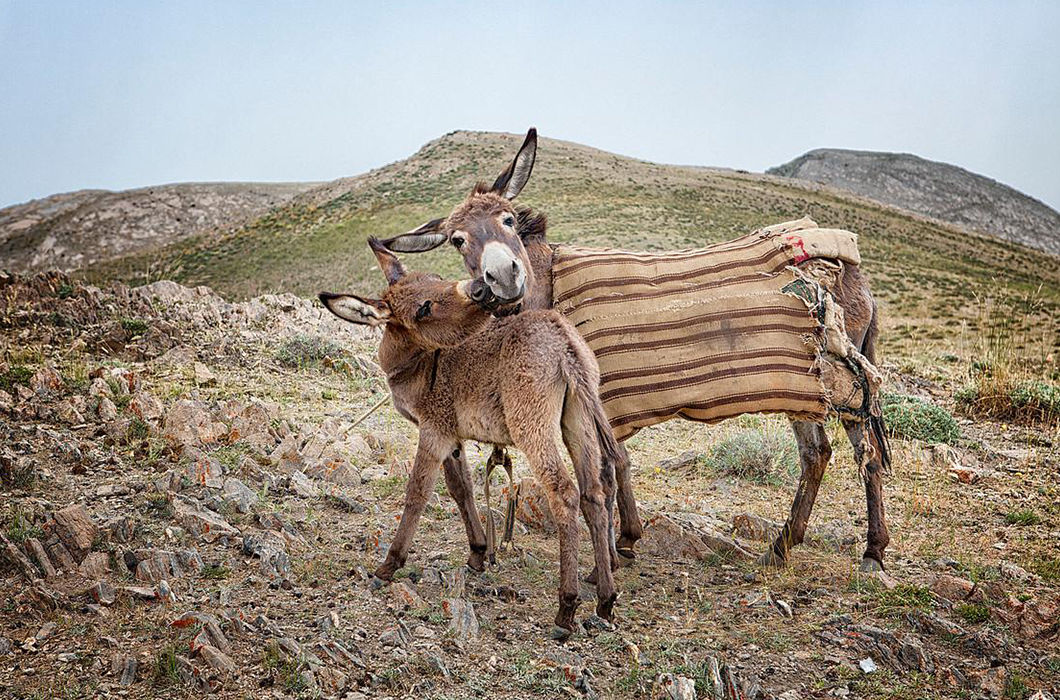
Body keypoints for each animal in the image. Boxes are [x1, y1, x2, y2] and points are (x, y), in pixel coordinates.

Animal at [320, 237, 619, 636]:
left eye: (437, 282)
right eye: (424, 307)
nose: (481, 288)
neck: (418, 360)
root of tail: (563, 340)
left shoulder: (433, 429)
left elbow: (417, 493)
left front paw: (389, 565)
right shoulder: (451, 435)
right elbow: (460, 487)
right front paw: (478, 551)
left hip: (532, 426)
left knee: (564, 494)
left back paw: (566, 607)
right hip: (578, 422)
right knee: (593, 496)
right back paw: (605, 600)